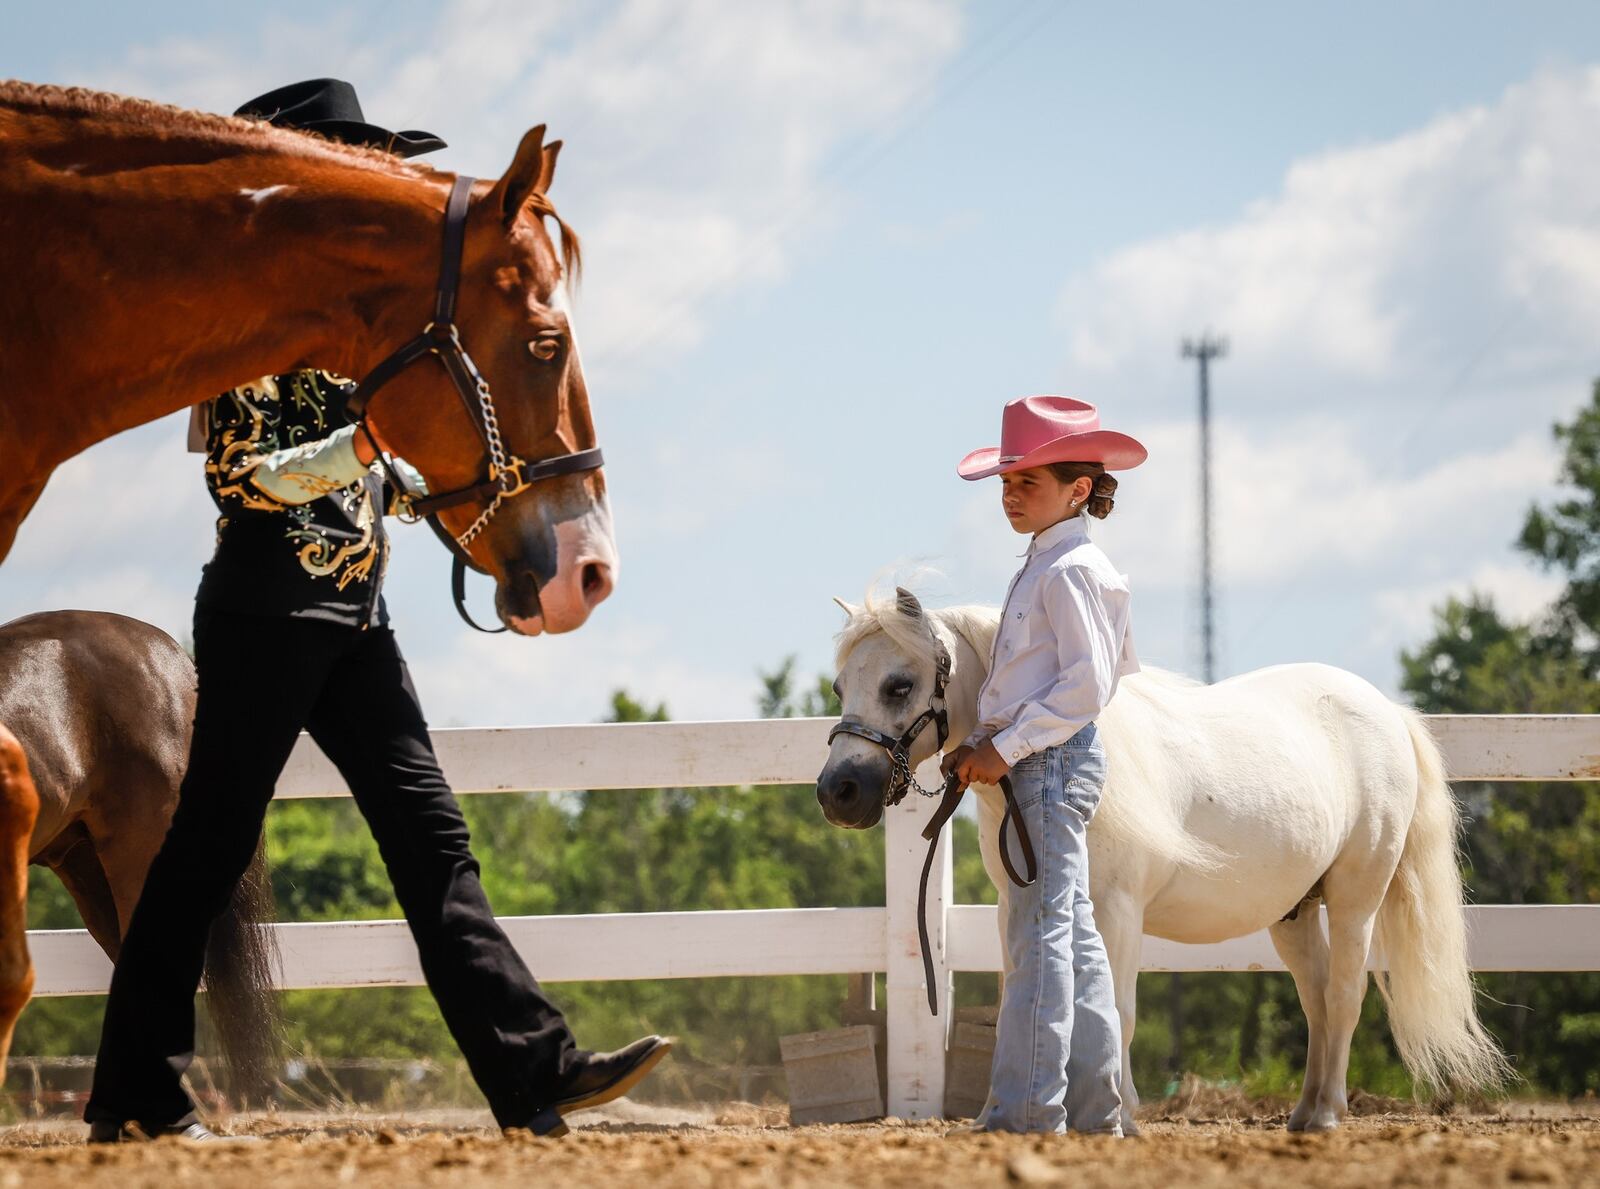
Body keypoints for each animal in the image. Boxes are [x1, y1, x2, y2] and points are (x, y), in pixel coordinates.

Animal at [819, 592, 1504, 1132]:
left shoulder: (1119, 911)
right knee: (1315, 1001)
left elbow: (1117, 1010)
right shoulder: (1018, 901)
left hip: (1357, 897)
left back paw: (1330, 1114)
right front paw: (1002, 1114)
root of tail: (1390, 713)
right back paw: (1304, 1112)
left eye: (899, 684)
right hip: (1295, 914)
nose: (838, 792)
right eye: (840, 687)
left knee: (1344, 994)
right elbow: (1029, 994)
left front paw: (1119, 1115)